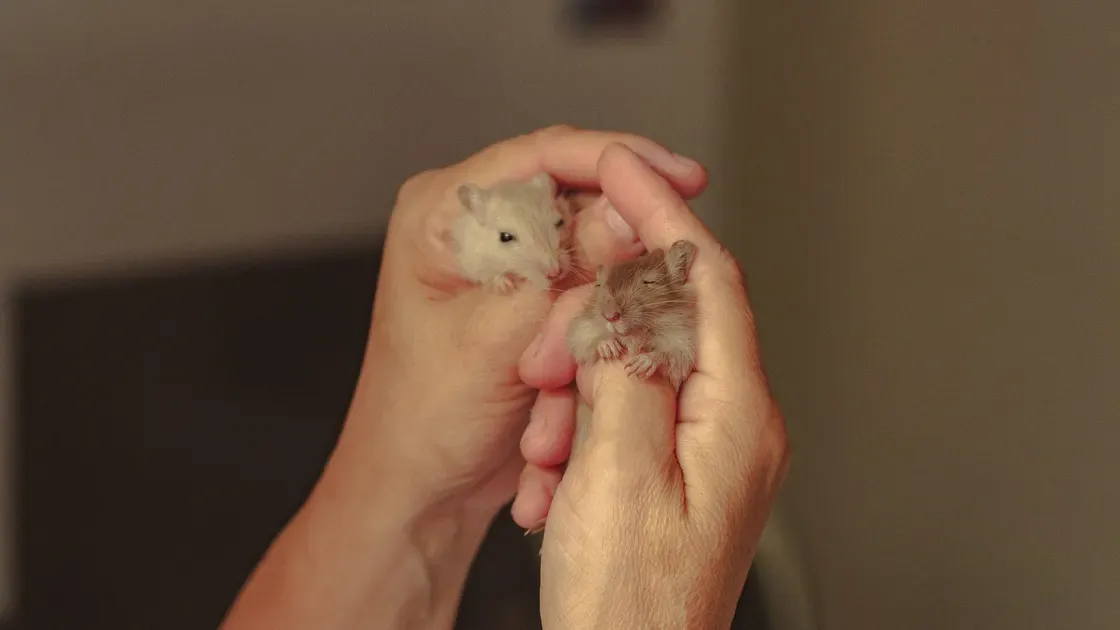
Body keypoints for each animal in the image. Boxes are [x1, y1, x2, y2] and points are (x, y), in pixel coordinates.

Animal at [566, 240, 699, 389]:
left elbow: (667, 355)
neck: (634, 335)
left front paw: (639, 366)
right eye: (599, 285)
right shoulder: (582, 330)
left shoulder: (683, 346)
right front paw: (610, 349)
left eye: (650, 282)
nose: (610, 316)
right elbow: (586, 340)